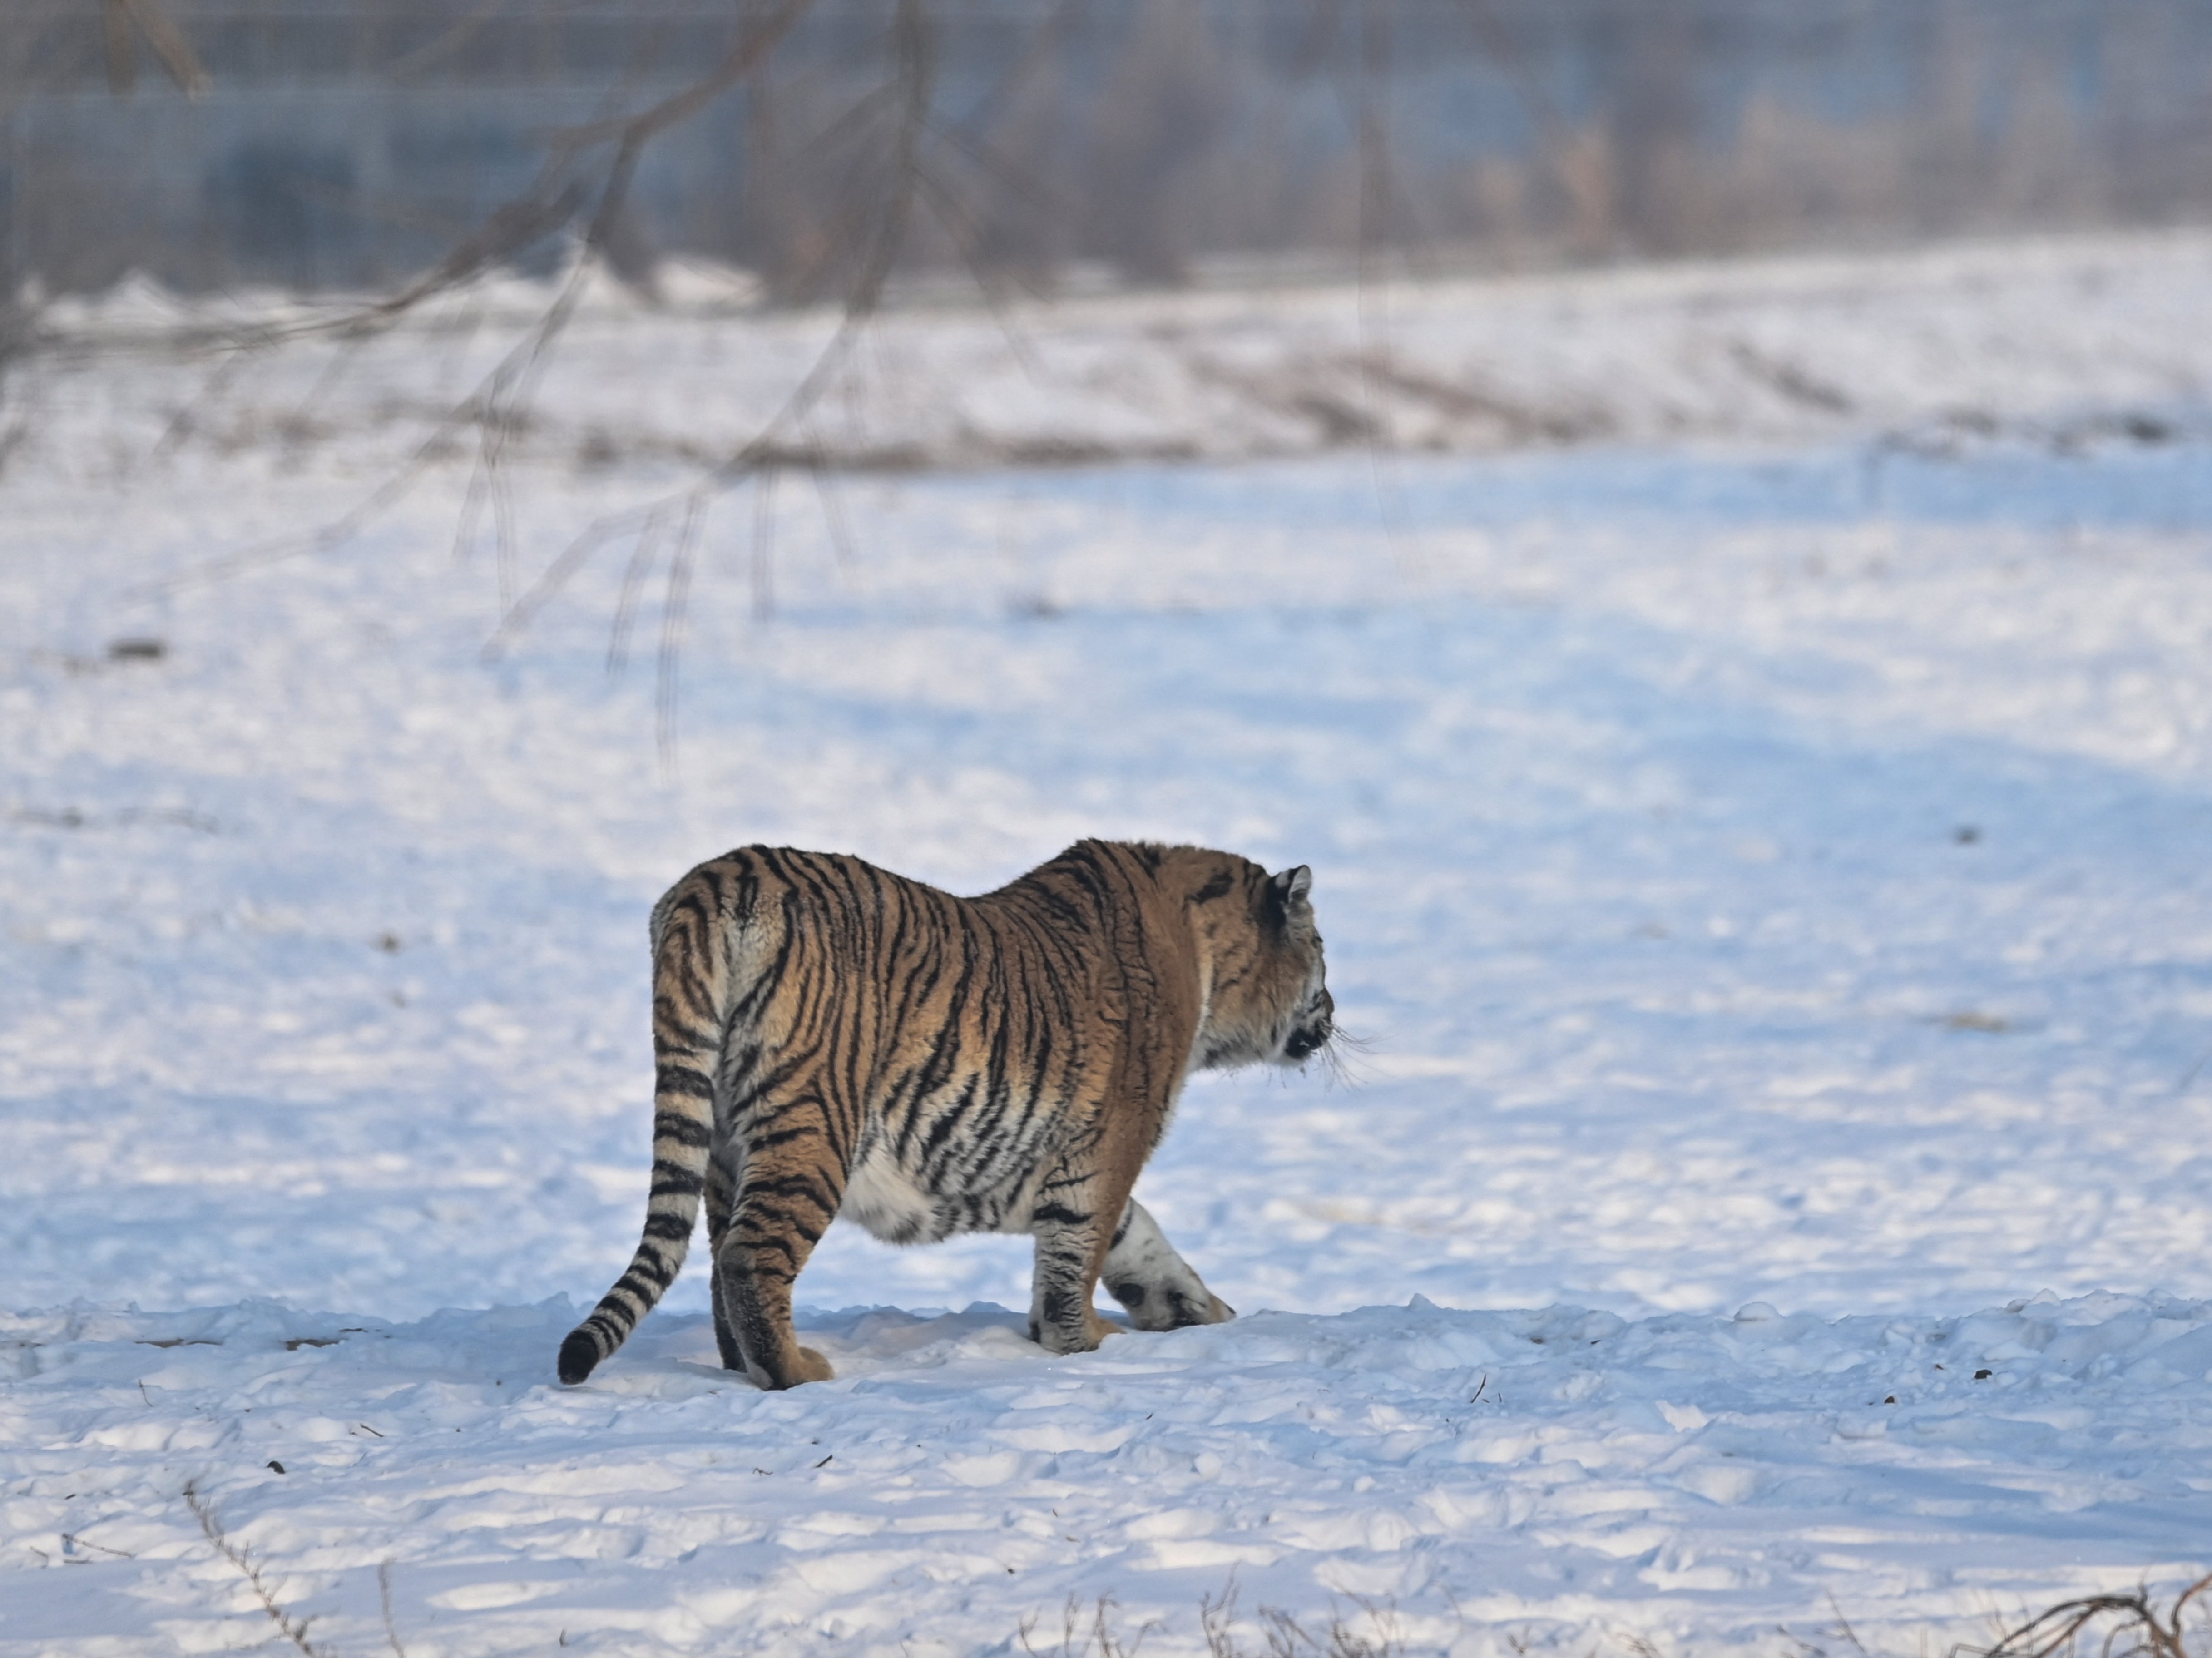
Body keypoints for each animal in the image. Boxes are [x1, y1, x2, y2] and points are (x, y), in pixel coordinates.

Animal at [562, 836, 1336, 1397]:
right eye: (1322, 954)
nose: (1332, 1013)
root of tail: (720, 876)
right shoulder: (1111, 1139)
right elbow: (1081, 1249)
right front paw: (1085, 1342)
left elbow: (1135, 1238)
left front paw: (1197, 1312)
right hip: (815, 1126)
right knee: (749, 1257)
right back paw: (797, 1372)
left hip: (723, 1138)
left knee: (720, 1260)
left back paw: (739, 1364)